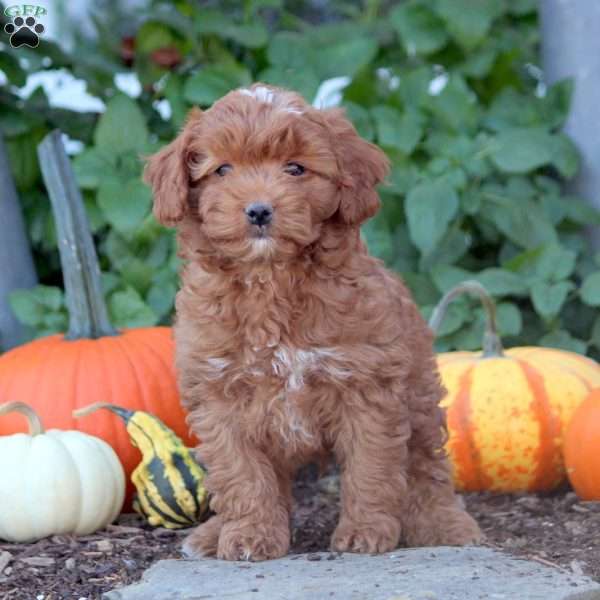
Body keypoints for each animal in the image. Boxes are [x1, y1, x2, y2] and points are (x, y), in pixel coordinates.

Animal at [143, 82, 480, 560]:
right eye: (222, 170)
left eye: (296, 168)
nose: (259, 211)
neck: (271, 281)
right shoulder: (219, 396)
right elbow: (242, 476)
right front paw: (249, 534)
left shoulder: (368, 388)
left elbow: (371, 468)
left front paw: (365, 531)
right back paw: (214, 533)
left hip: (417, 395)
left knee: (424, 467)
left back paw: (445, 524)